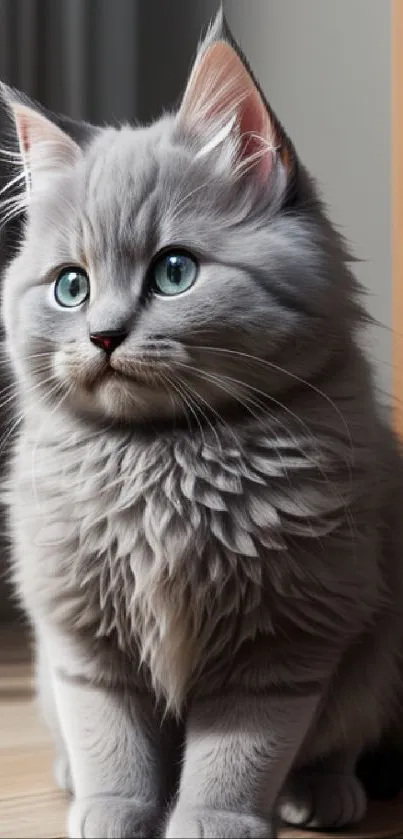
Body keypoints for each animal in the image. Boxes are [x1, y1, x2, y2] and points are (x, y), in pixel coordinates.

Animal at [2, 11, 403, 839]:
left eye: (174, 272)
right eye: (69, 286)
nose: (102, 335)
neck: (164, 457)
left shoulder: (286, 638)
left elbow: (238, 753)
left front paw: (213, 819)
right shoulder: (82, 631)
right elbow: (110, 739)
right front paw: (112, 809)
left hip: (375, 654)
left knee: (340, 740)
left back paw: (324, 791)